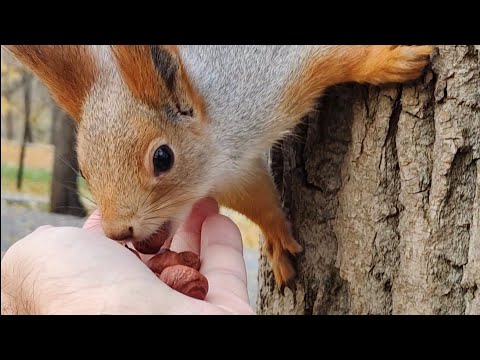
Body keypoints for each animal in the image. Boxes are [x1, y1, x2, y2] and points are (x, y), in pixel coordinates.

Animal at [4, 45, 432, 292]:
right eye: (86, 172)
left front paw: (389, 61)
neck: (219, 153)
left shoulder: (271, 82)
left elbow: (335, 59)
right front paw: (277, 239)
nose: (116, 232)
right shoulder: (237, 178)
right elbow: (261, 206)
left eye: (162, 158)